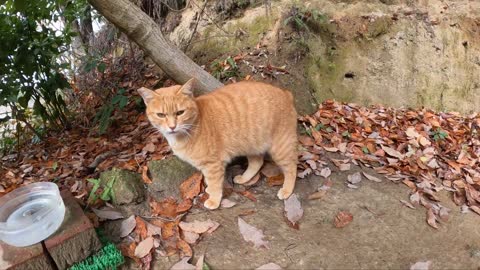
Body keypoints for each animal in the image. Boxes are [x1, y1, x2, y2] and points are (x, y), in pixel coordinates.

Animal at [137, 78, 298, 209]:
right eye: (161, 115)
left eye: (180, 113)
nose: (172, 127)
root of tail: (286, 93)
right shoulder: (206, 166)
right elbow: (209, 181)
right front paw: (209, 190)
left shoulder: (212, 164)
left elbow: (214, 183)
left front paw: (214, 200)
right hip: (251, 144)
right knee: (257, 162)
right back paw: (244, 178)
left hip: (280, 148)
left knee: (292, 167)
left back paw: (287, 190)